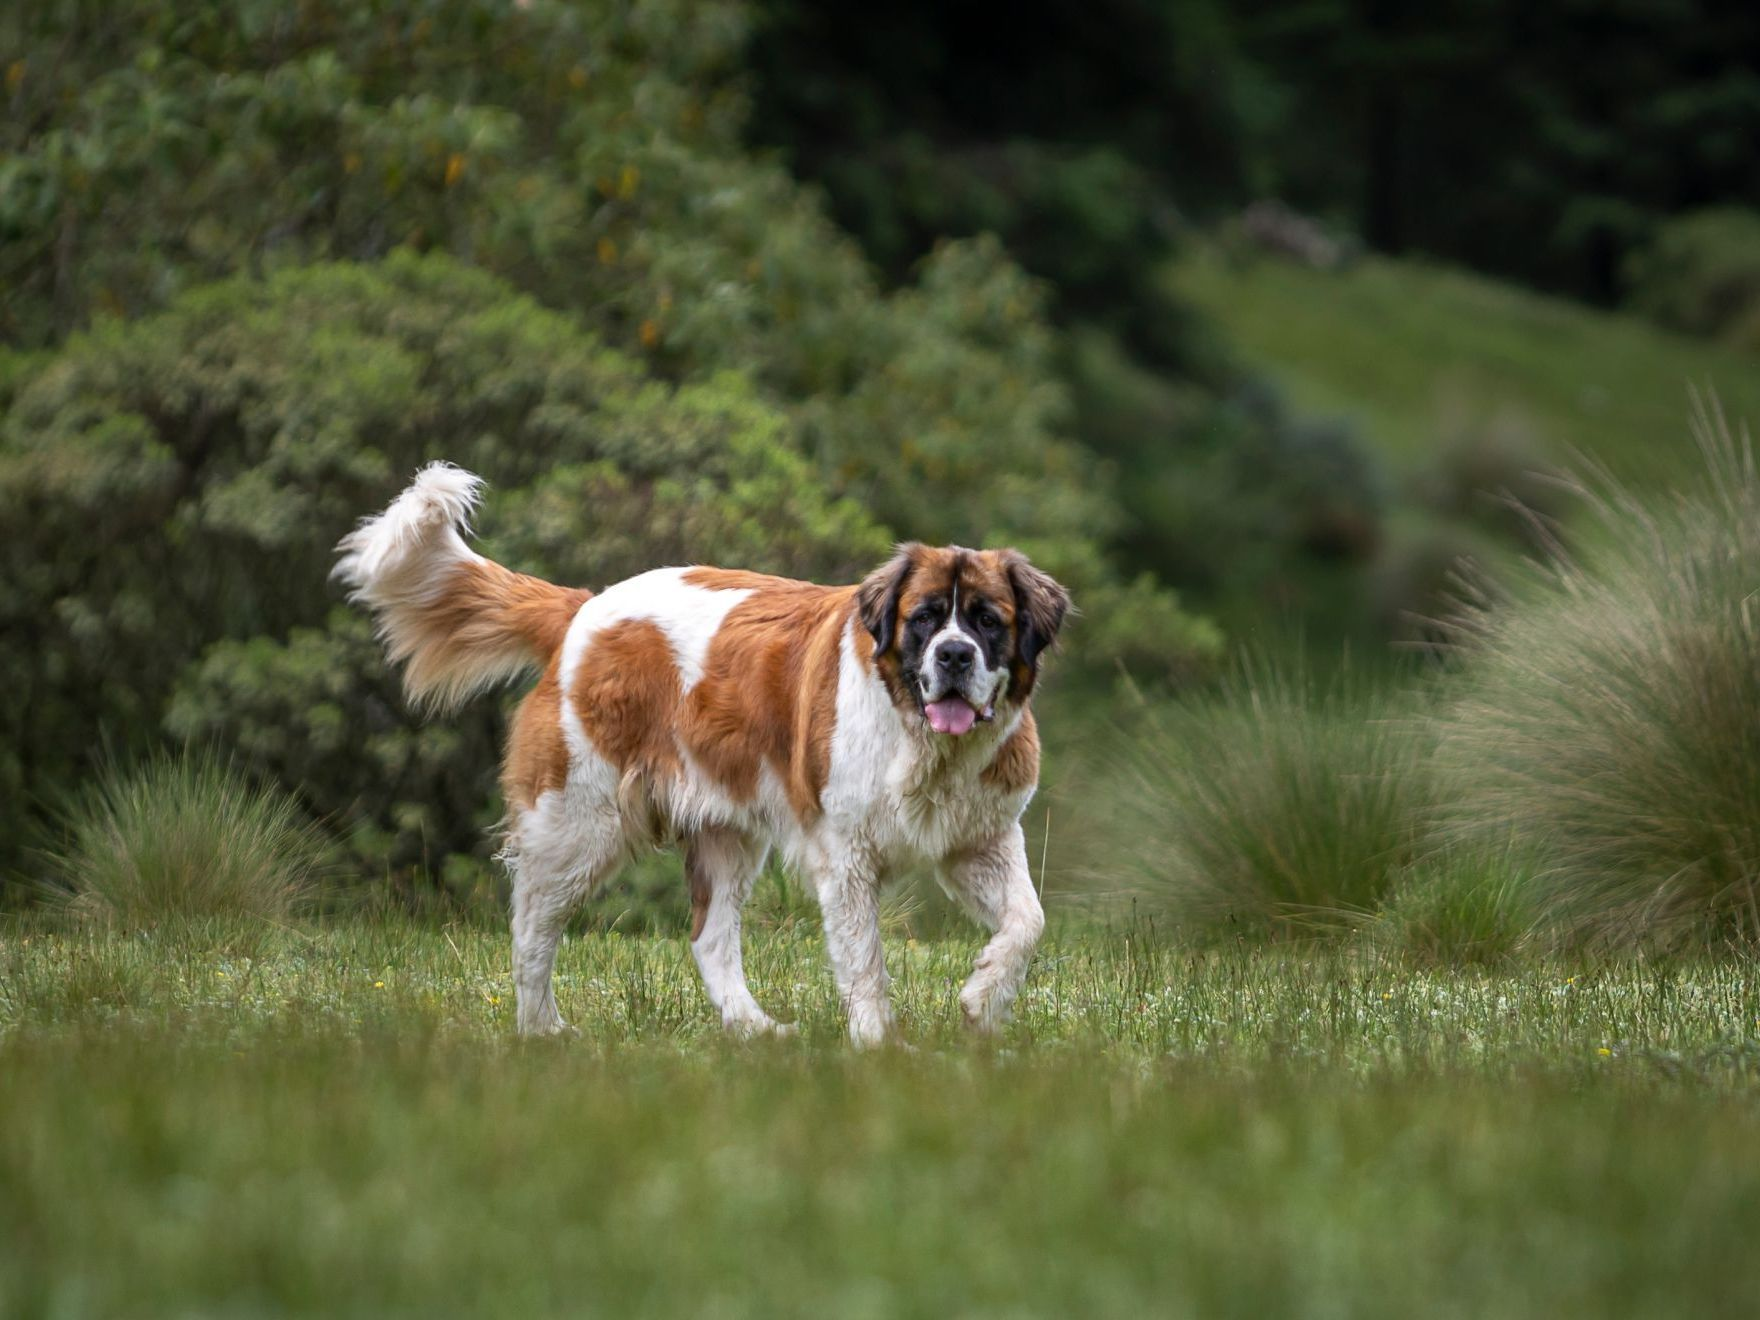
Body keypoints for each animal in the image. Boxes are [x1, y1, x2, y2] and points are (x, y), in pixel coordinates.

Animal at [334, 461, 1063, 1041]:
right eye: (924, 618)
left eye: (987, 621)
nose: (954, 654)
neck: (921, 741)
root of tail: (582, 610)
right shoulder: (846, 858)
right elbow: (866, 963)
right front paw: (881, 1046)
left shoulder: (981, 840)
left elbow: (1028, 920)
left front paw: (982, 1002)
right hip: (579, 824)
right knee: (532, 927)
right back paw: (542, 1029)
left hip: (725, 832)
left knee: (709, 939)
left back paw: (754, 1030)